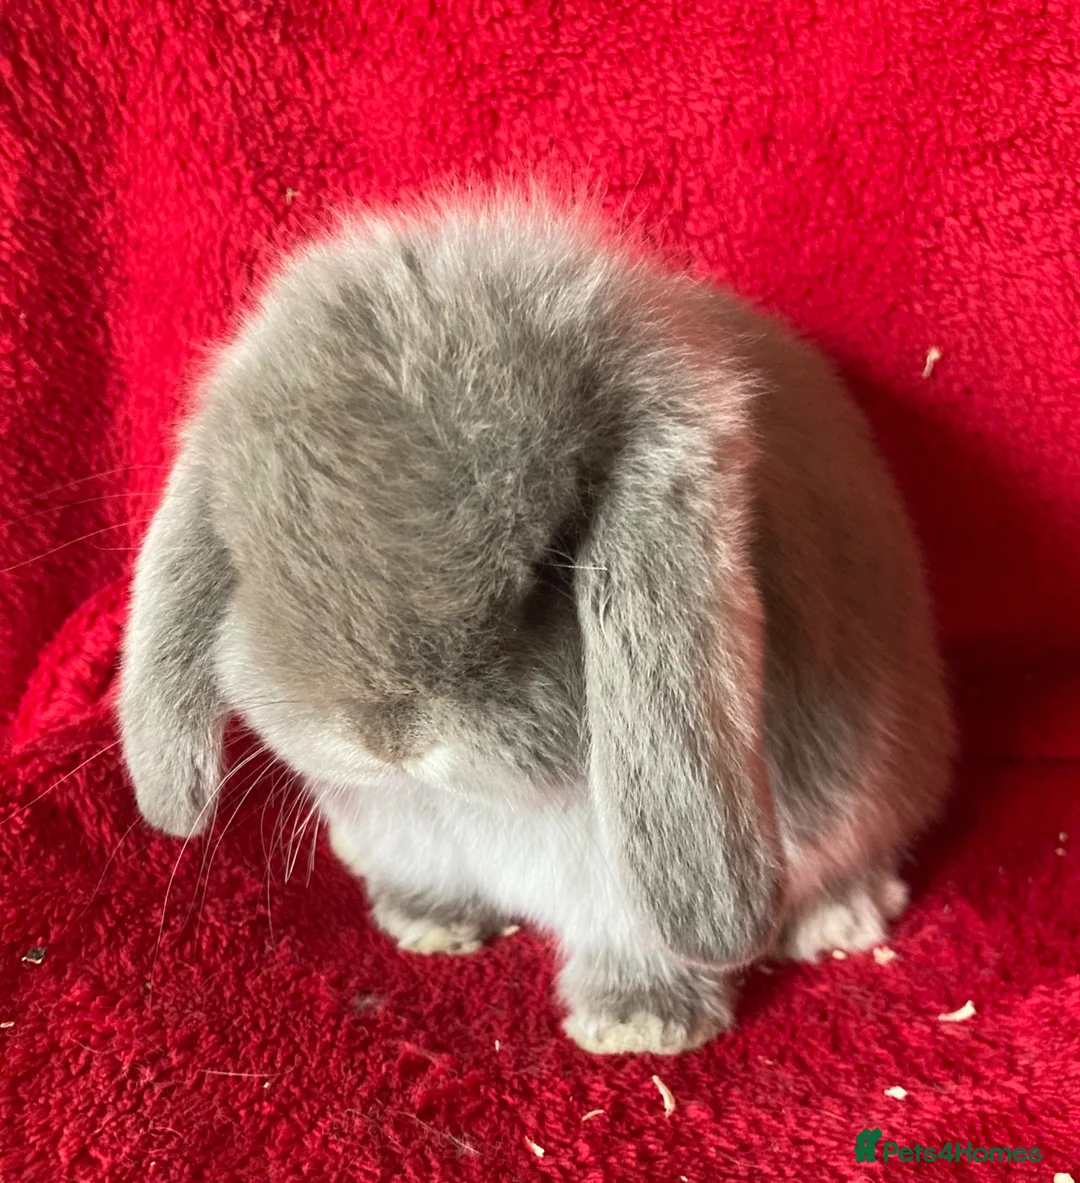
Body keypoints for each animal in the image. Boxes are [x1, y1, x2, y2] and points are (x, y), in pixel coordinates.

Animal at [117, 192, 954, 1055]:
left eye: (553, 559)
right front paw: (427, 926)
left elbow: (641, 945)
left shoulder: (631, 890)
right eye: (249, 553)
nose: (387, 735)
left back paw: (834, 920)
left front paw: (639, 1022)